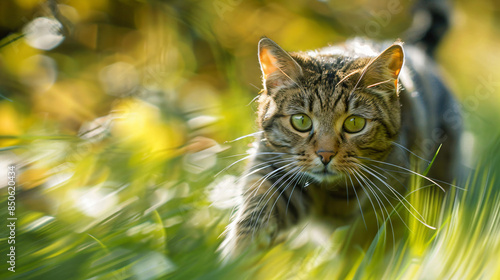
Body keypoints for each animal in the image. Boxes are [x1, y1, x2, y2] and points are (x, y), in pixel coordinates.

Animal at [221, 5, 462, 260]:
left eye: (354, 123)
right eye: (301, 121)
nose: (325, 155)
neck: (332, 194)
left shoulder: (389, 211)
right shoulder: (274, 172)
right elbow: (254, 220)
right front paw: (236, 260)